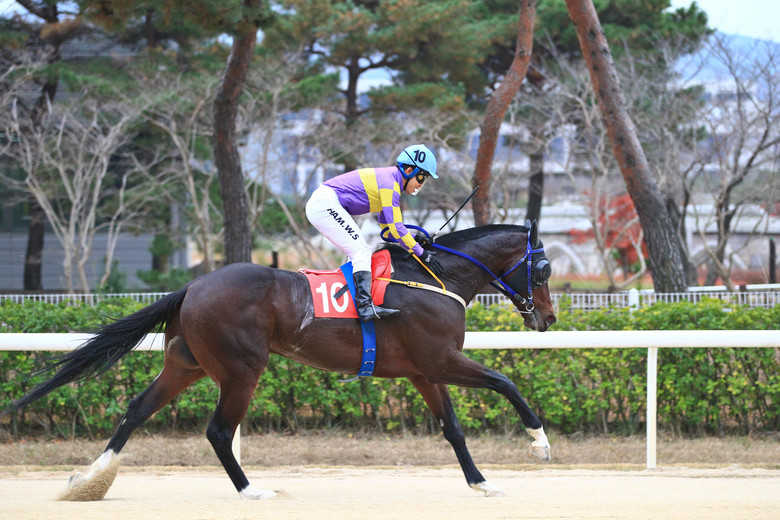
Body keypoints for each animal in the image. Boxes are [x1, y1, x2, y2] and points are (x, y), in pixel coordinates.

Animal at [1, 220, 557, 500]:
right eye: (544, 268)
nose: (548, 318)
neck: (434, 278)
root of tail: (192, 286)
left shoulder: (424, 371)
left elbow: (453, 429)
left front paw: (482, 482)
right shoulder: (442, 361)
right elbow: (506, 381)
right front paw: (540, 444)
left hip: (187, 364)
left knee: (137, 408)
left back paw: (88, 481)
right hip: (241, 369)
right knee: (219, 431)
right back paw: (251, 492)